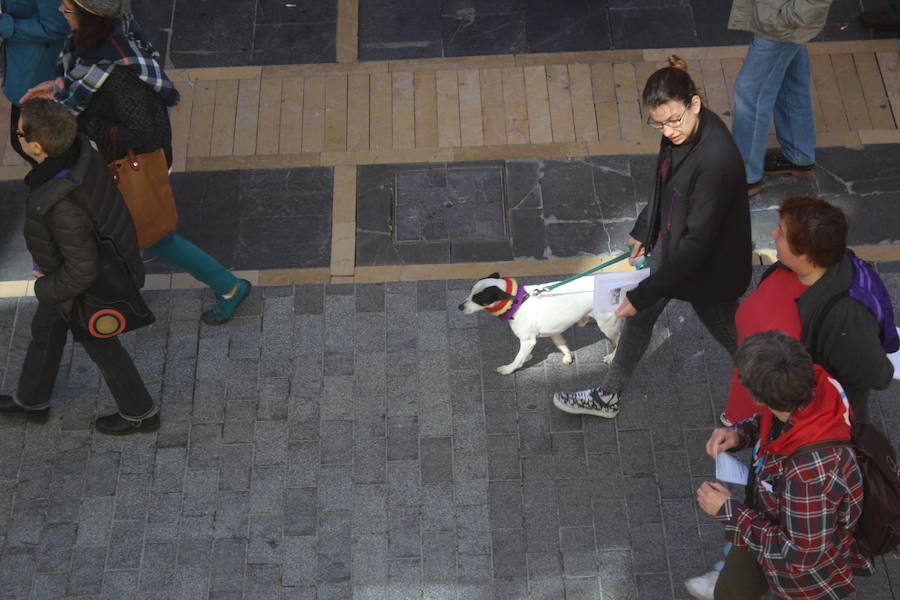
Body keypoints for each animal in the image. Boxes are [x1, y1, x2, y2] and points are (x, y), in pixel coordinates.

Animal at [460, 274, 624, 376]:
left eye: (478, 299)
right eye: (470, 292)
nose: (459, 307)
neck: (518, 301)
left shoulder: (527, 341)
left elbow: (518, 359)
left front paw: (508, 369)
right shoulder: (554, 332)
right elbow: (562, 345)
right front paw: (568, 356)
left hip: (607, 324)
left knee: (620, 337)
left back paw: (612, 357)